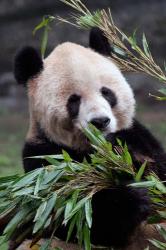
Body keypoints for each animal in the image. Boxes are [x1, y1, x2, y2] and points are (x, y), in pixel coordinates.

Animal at [13, 28, 166, 249]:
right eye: (74, 101)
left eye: (106, 92)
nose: (100, 122)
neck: (93, 146)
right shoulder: (43, 160)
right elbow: (71, 217)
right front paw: (133, 197)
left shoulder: (138, 132)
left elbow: (158, 173)